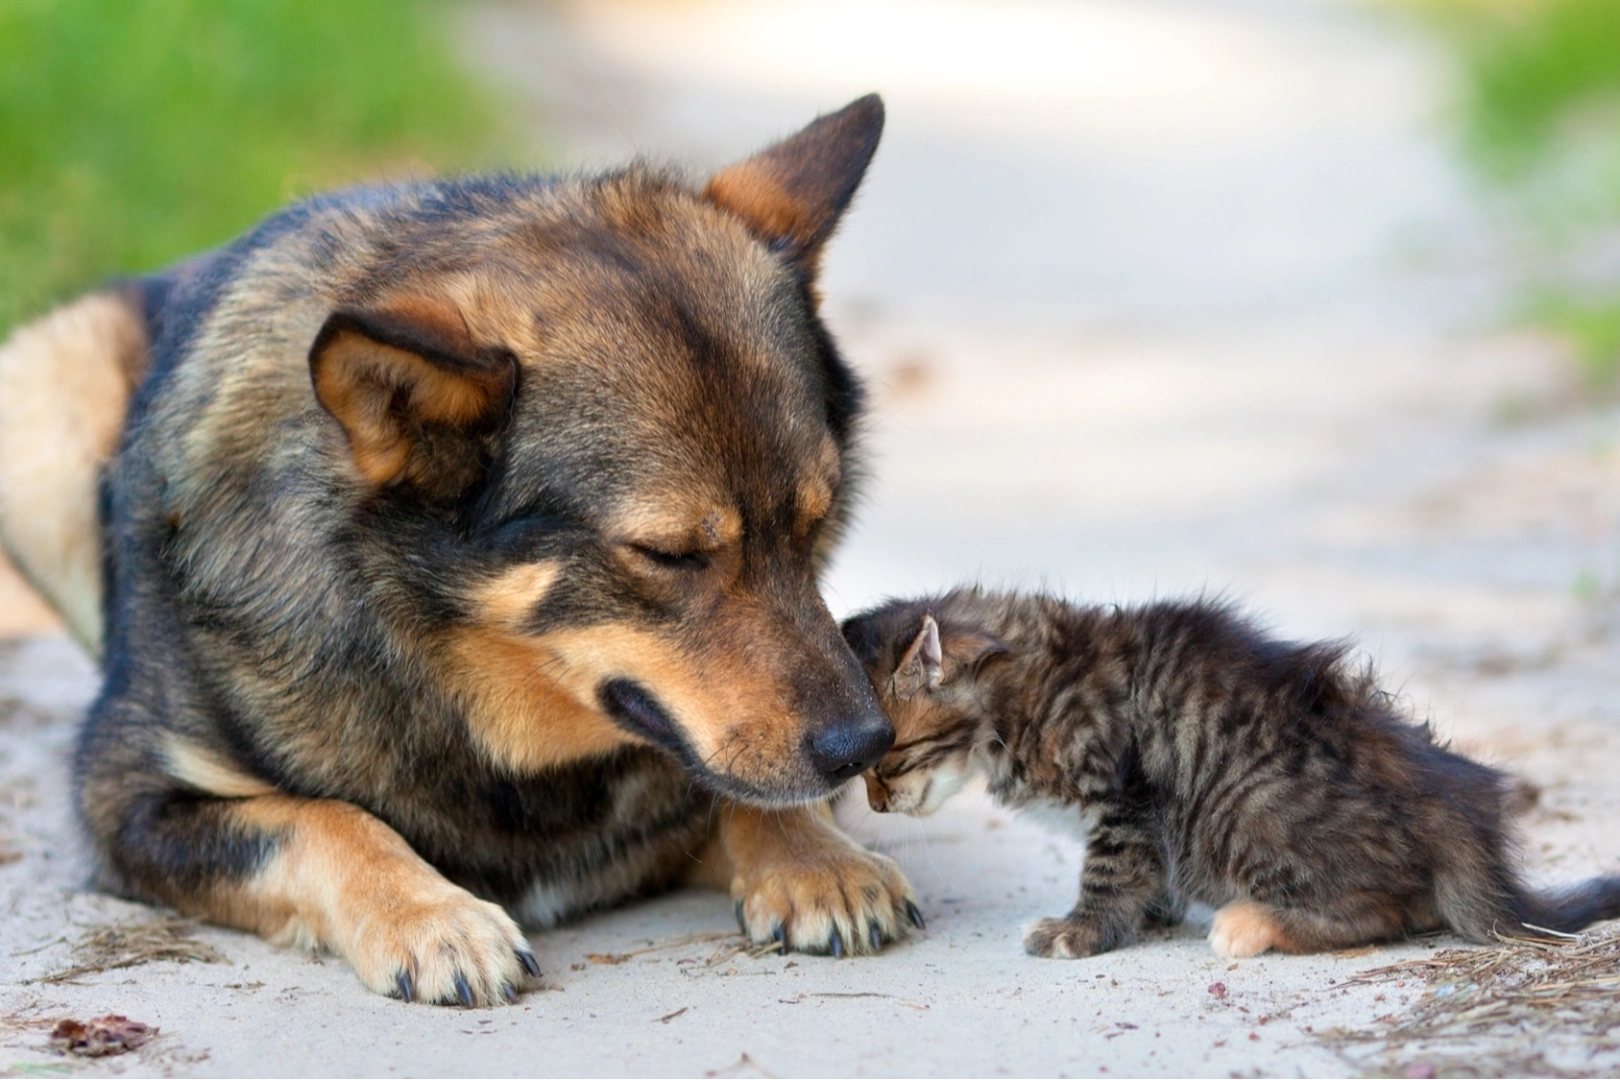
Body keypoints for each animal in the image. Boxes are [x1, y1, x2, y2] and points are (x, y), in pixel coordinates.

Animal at [0, 97, 920, 1010]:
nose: (864, 746)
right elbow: (320, 818)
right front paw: (430, 915)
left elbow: (736, 787)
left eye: (815, 521)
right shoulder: (128, 801)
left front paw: (816, 860)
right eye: (667, 554)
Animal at [842, 592, 1620, 965]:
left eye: (887, 762)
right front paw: (1152, 914)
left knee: (1387, 910)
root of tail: (1458, 808)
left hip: (1246, 812)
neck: (1026, 685)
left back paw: (1250, 923)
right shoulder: (1141, 818)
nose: (876, 808)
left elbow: (1107, 873)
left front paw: (1079, 932)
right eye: (860, 773)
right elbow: (1144, 874)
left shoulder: (1126, 795)